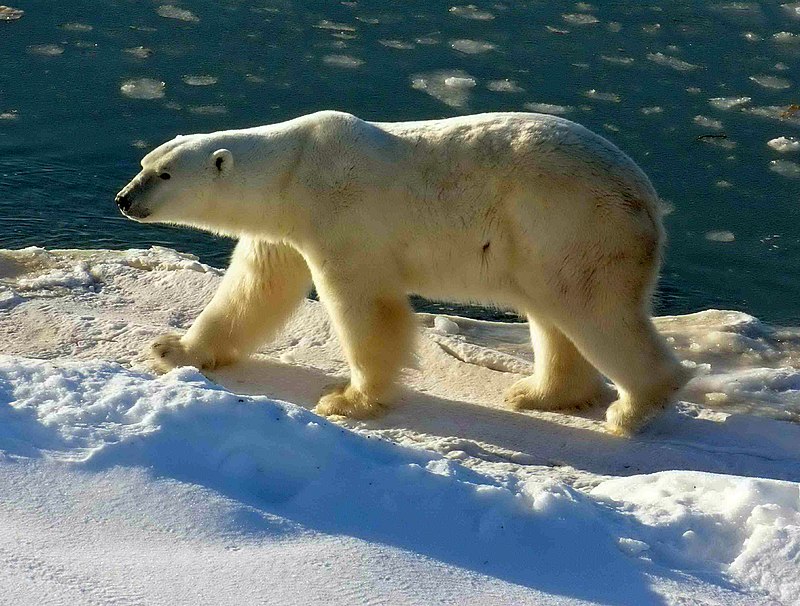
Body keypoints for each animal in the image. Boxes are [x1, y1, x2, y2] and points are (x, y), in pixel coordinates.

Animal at [115, 111, 692, 434]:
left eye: (163, 174)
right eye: (144, 164)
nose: (123, 199)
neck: (294, 167)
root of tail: (648, 199)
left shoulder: (341, 215)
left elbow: (365, 306)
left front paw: (349, 400)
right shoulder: (284, 230)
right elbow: (254, 289)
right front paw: (173, 349)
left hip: (574, 225)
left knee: (593, 310)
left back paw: (634, 409)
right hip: (543, 243)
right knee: (552, 314)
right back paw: (540, 393)